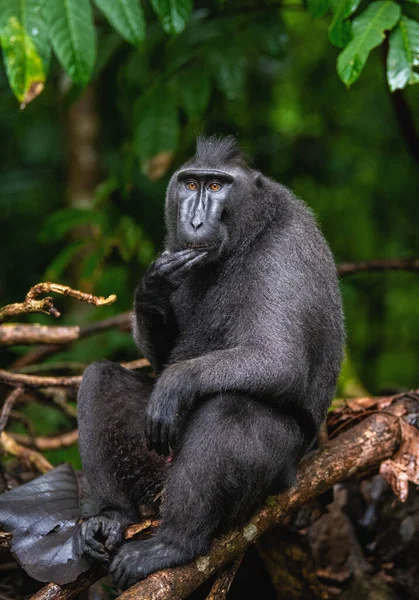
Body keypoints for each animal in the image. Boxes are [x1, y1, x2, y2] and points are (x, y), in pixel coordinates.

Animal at [75, 135, 344, 584]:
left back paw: (176, 543)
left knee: (231, 406)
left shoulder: (283, 252)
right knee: (100, 379)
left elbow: (279, 360)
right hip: (156, 467)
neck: (250, 232)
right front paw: (151, 289)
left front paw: (175, 384)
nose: (196, 220)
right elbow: (159, 357)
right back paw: (111, 517)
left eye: (216, 187)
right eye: (190, 184)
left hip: (276, 472)